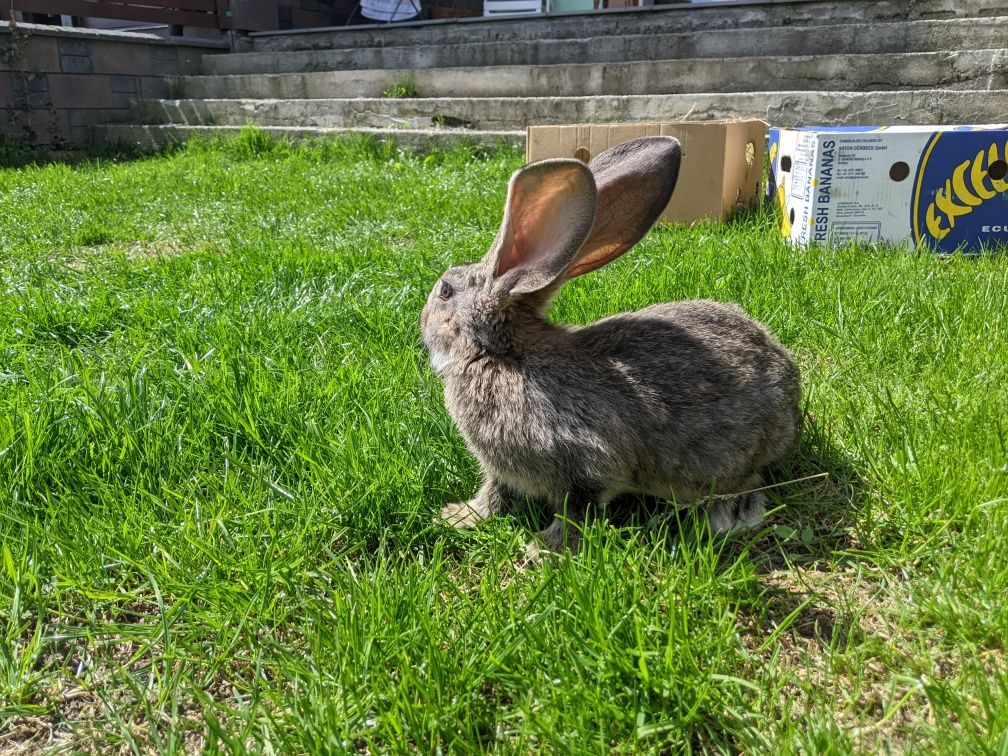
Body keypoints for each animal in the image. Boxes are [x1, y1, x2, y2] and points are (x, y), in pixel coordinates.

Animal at [421, 136, 798, 556]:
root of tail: (791, 381)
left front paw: (543, 549)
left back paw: (732, 514)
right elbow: (494, 494)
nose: (421, 320)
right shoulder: (501, 469)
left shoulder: (585, 461)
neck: (503, 354)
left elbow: (577, 508)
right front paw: (459, 517)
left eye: (445, 291)